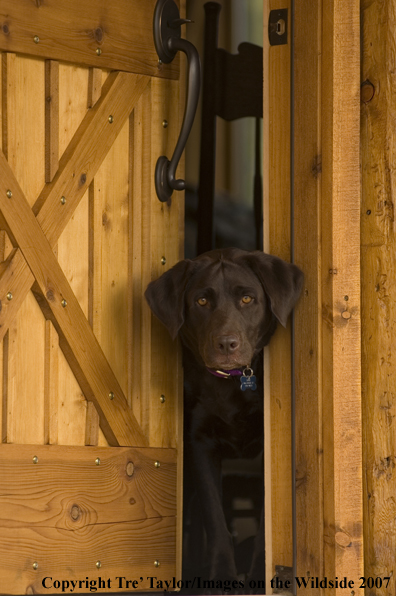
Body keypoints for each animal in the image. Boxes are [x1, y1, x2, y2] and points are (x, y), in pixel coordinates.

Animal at [145, 247, 304, 592]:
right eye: (202, 301)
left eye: (247, 299)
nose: (227, 344)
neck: (231, 382)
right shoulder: (199, 444)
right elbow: (215, 518)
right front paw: (221, 577)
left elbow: (264, 523)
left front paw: (258, 575)